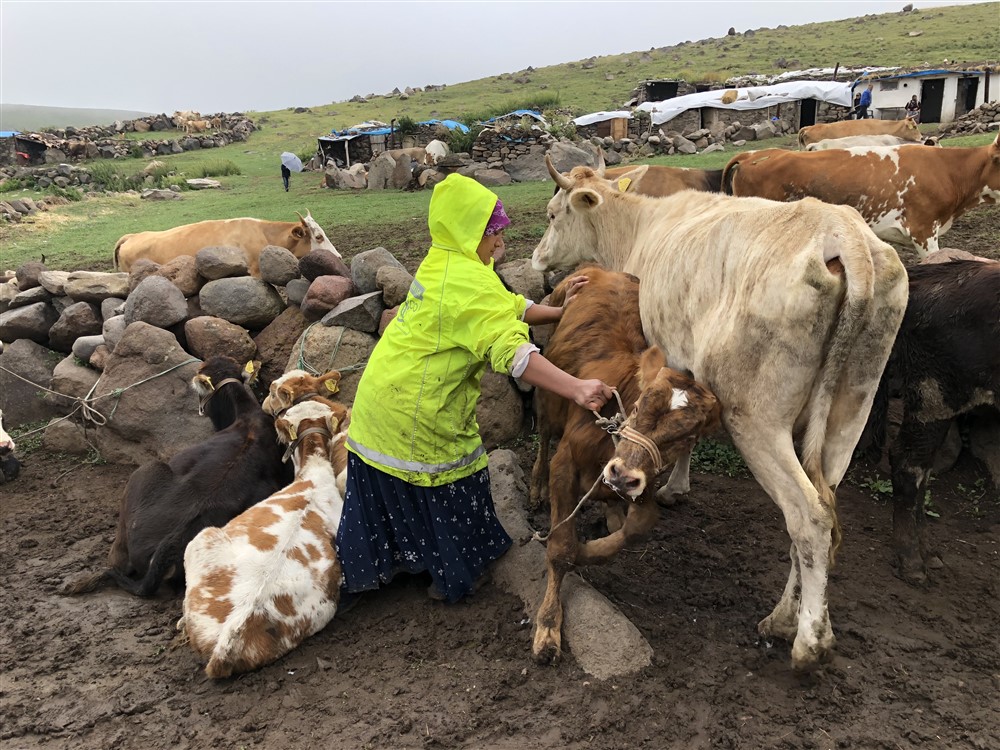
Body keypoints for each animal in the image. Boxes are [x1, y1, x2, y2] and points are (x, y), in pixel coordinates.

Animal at [536, 156, 912, 672]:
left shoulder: (671, 352)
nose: (537, 260)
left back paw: (807, 640)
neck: (639, 228)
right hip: (850, 410)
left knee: (809, 517)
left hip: (757, 420)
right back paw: (786, 617)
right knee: (822, 504)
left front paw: (671, 487)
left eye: (554, 213)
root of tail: (844, 233)